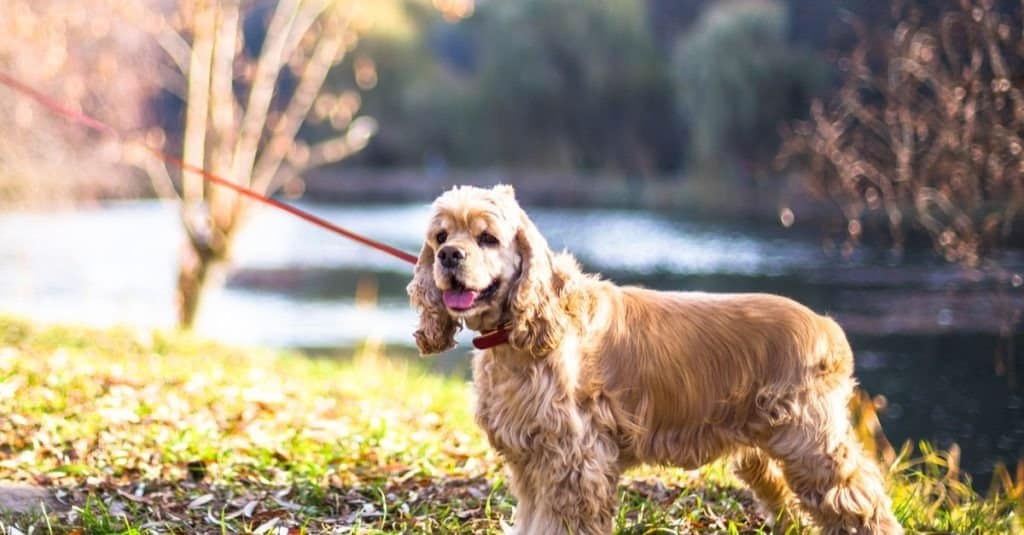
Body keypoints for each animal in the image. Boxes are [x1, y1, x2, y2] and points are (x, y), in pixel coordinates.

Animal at [403, 185, 901, 528]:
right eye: (441, 235)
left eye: (487, 238)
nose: (449, 255)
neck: (517, 338)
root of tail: (828, 328)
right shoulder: (530, 463)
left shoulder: (576, 464)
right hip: (763, 456)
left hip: (812, 447)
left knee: (865, 505)